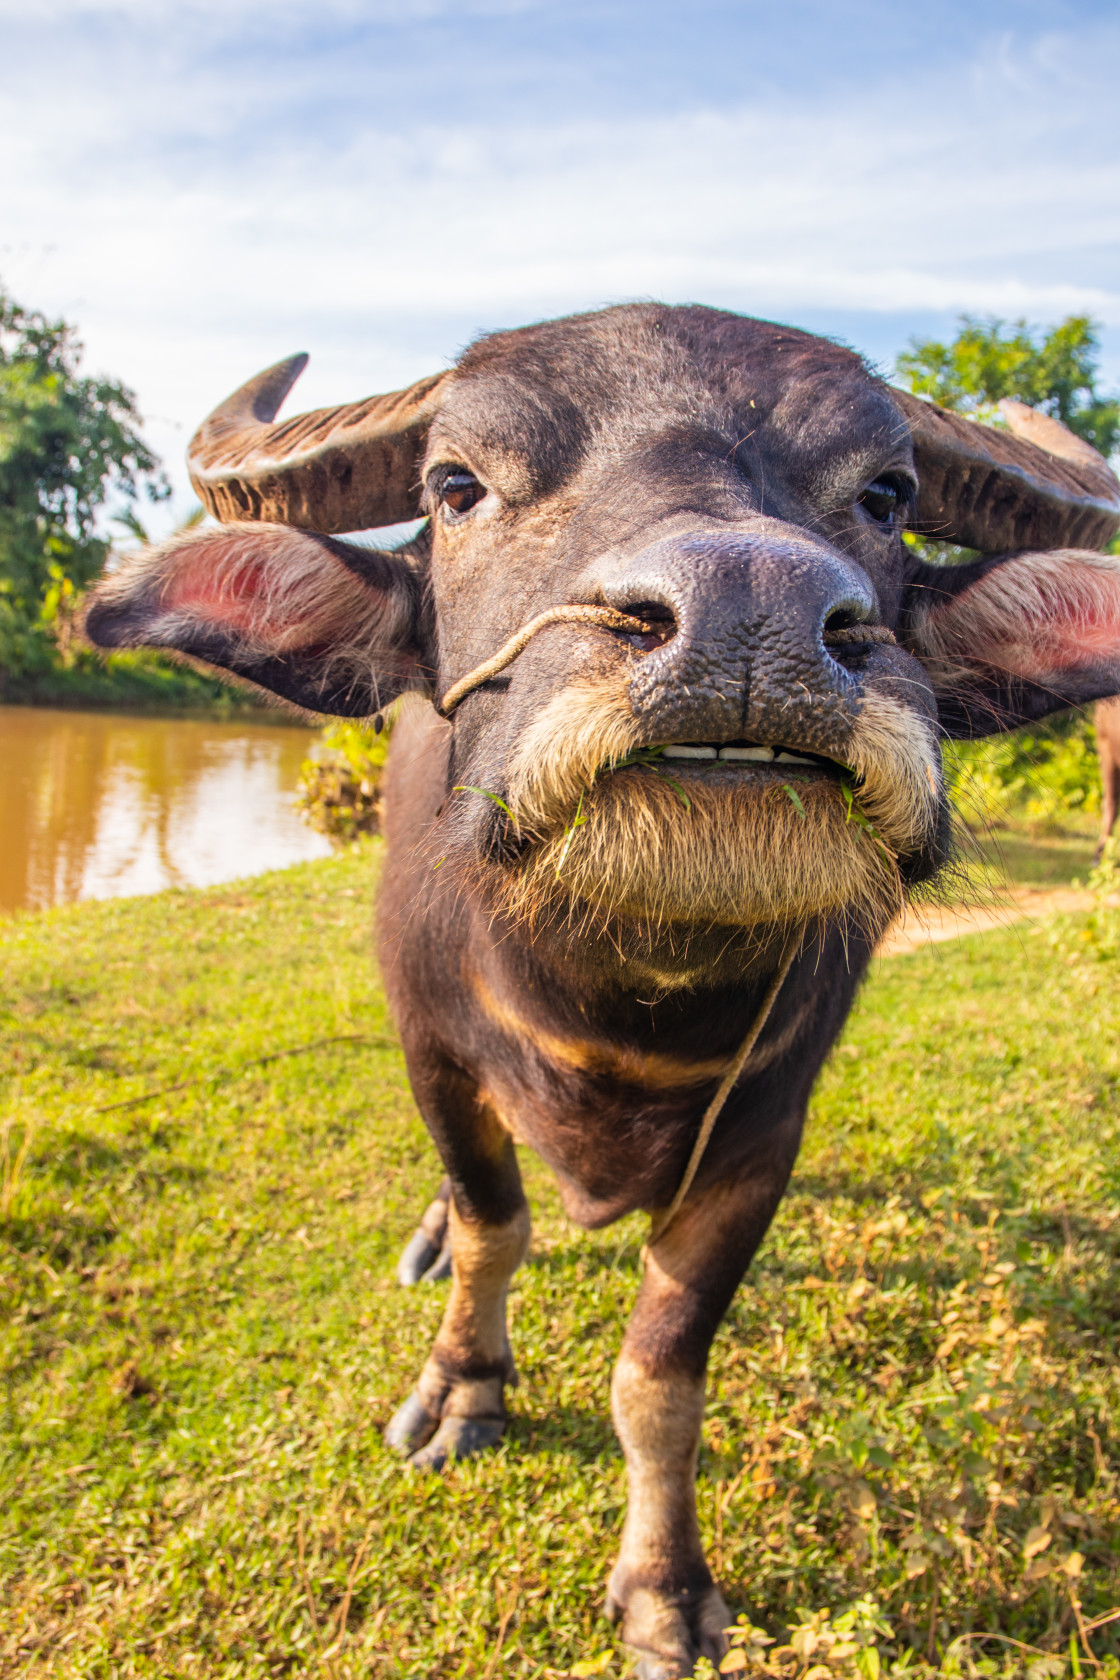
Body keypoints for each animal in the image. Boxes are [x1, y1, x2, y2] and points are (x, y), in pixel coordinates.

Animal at [85, 309, 1120, 1673]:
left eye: (886, 495)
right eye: (455, 486)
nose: (752, 609)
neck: (622, 998)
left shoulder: (762, 1134)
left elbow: (660, 1371)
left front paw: (665, 1584)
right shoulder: (429, 1050)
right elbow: (494, 1225)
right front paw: (461, 1388)